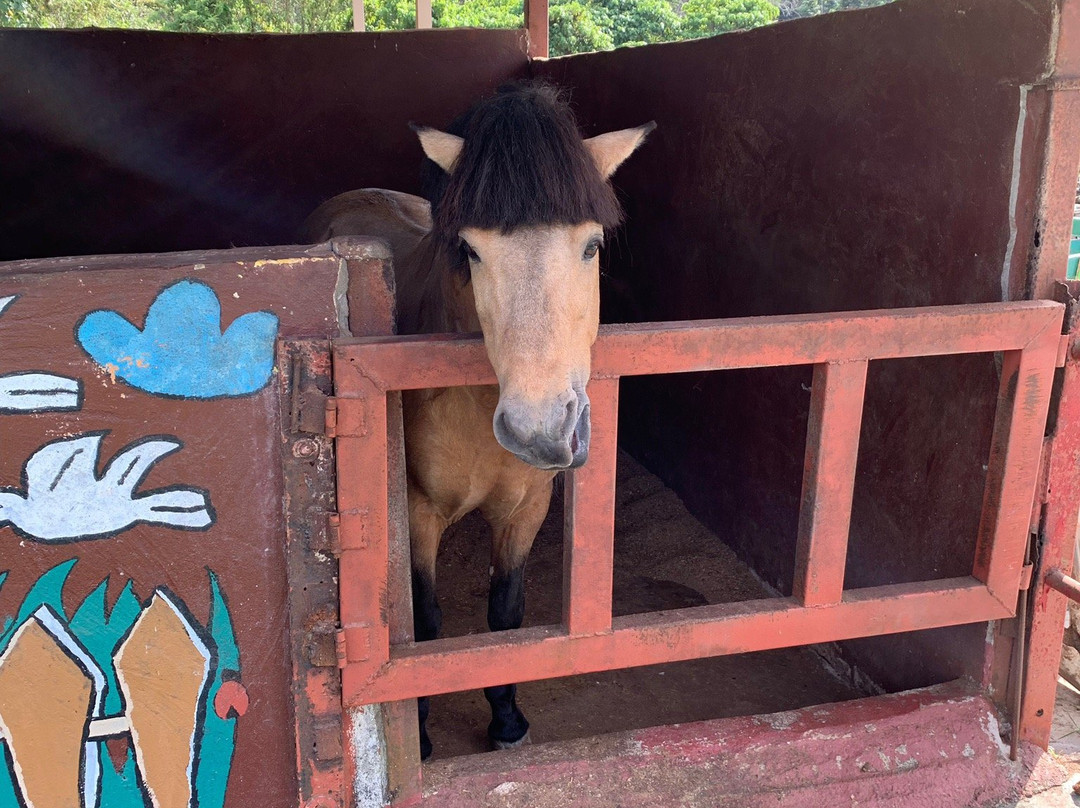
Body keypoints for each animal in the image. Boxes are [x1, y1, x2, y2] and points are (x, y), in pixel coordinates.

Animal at [308, 82, 652, 756]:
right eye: (469, 250)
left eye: (592, 245)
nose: (537, 430)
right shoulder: (415, 514)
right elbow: (425, 624)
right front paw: (419, 732)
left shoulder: (526, 509)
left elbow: (505, 614)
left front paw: (507, 720)